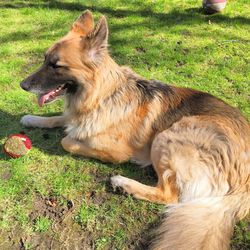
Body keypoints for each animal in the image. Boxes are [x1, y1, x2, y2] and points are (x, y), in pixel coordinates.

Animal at [21, 10, 250, 250]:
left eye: (56, 65)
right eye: (44, 59)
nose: (22, 85)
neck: (101, 96)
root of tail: (244, 184)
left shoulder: (116, 151)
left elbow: (67, 140)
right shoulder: (75, 114)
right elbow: (58, 118)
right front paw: (31, 118)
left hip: (167, 136)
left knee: (169, 195)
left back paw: (123, 184)